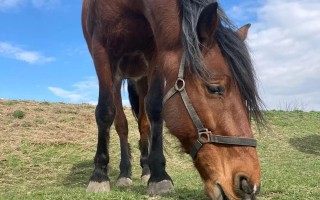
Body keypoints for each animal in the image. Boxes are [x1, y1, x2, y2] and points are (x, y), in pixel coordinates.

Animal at [81, 0, 264, 199]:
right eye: (215, 88)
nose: (249, 184)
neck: (127, 6)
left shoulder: (155, 54)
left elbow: (155, 109)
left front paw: (158, 175)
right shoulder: (101, 53)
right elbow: (105, 112)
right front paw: (99, 175)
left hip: (141, 80)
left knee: (143, 124)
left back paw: (146, 171)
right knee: (121, 124)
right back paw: (124, 173)